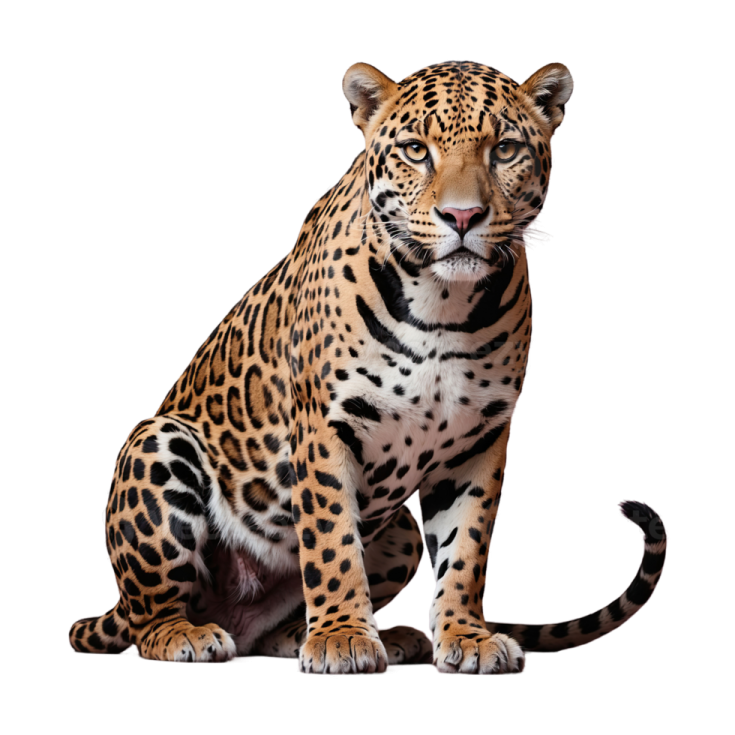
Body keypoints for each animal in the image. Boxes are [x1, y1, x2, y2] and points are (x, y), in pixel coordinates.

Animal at [68, 59, 667, 675]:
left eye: (504, 150)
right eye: (416, 150)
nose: (462, 216)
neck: (443, 305)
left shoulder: (482, 438)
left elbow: (467, 548)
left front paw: (466, 635)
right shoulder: (324, 428)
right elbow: (331, 542)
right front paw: (343, 639)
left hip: (400, 531)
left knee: (266, 631)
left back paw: (379, 635)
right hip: (156, 445)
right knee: (151, 616)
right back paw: (186, 635)